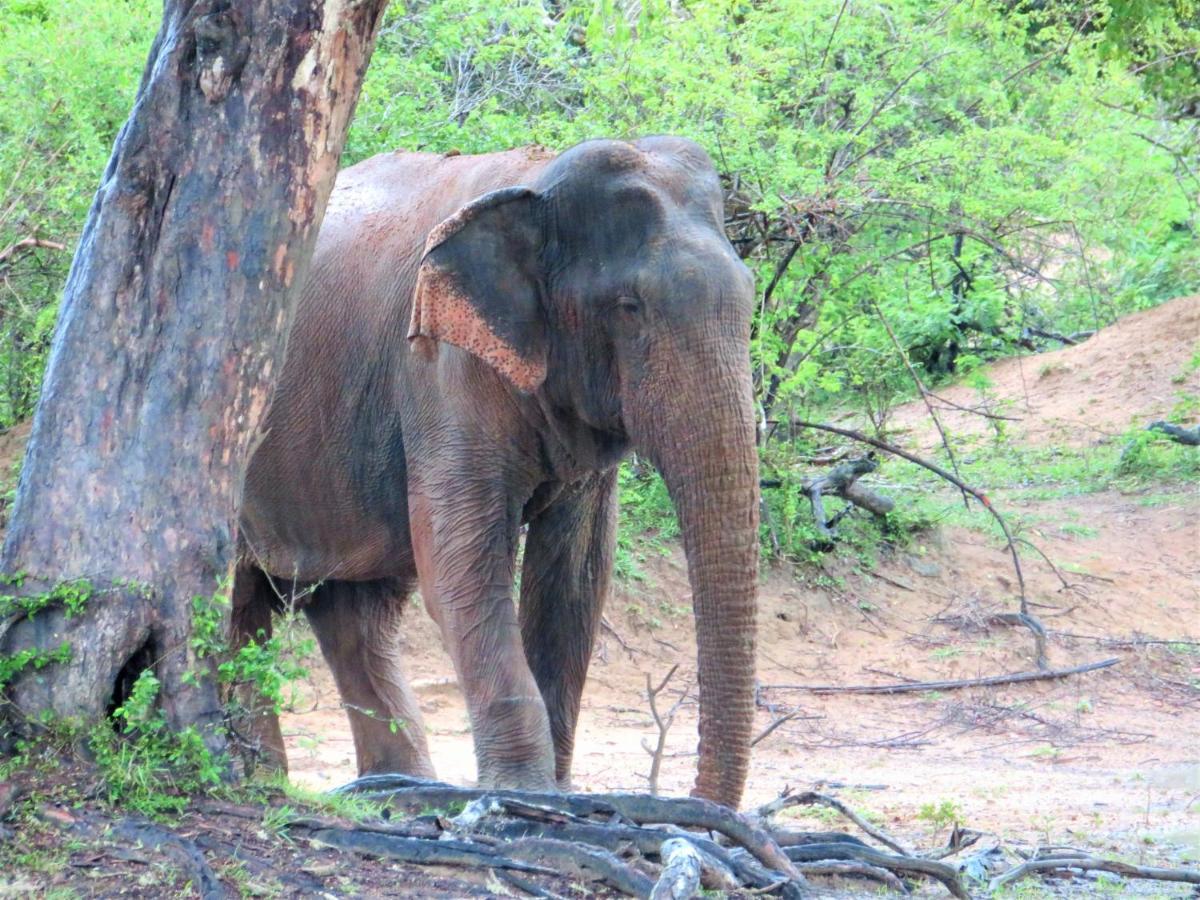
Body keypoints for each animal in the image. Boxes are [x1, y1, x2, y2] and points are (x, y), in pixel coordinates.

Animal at [232, 135, 758, 811]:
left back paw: (393, 787)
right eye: (628, 307)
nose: (699, 807)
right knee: (239, 605)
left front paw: (556, 794)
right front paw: (525, 794)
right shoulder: (440, 370)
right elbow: (463, 568)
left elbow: (576, 579)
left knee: (355, 616)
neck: (538, 182)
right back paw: (262, 777)